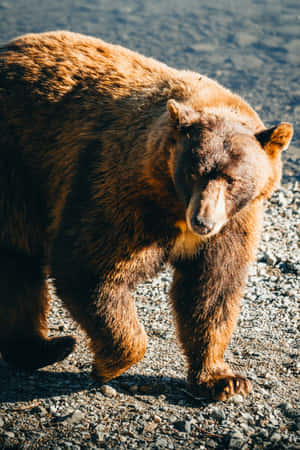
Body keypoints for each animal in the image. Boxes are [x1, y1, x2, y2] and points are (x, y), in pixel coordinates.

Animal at [0, 30, 292, 400]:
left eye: (232, 179)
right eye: (193, 172)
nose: (203, 221)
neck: (174, 204)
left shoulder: (235, 222)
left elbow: (211, 290)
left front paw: (223, 379)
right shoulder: (119, 186)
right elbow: (90, 265)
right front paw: (109, 364)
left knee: (17, 266)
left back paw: (43, 347)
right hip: (18, 168)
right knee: (20, 256)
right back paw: (55, 345)